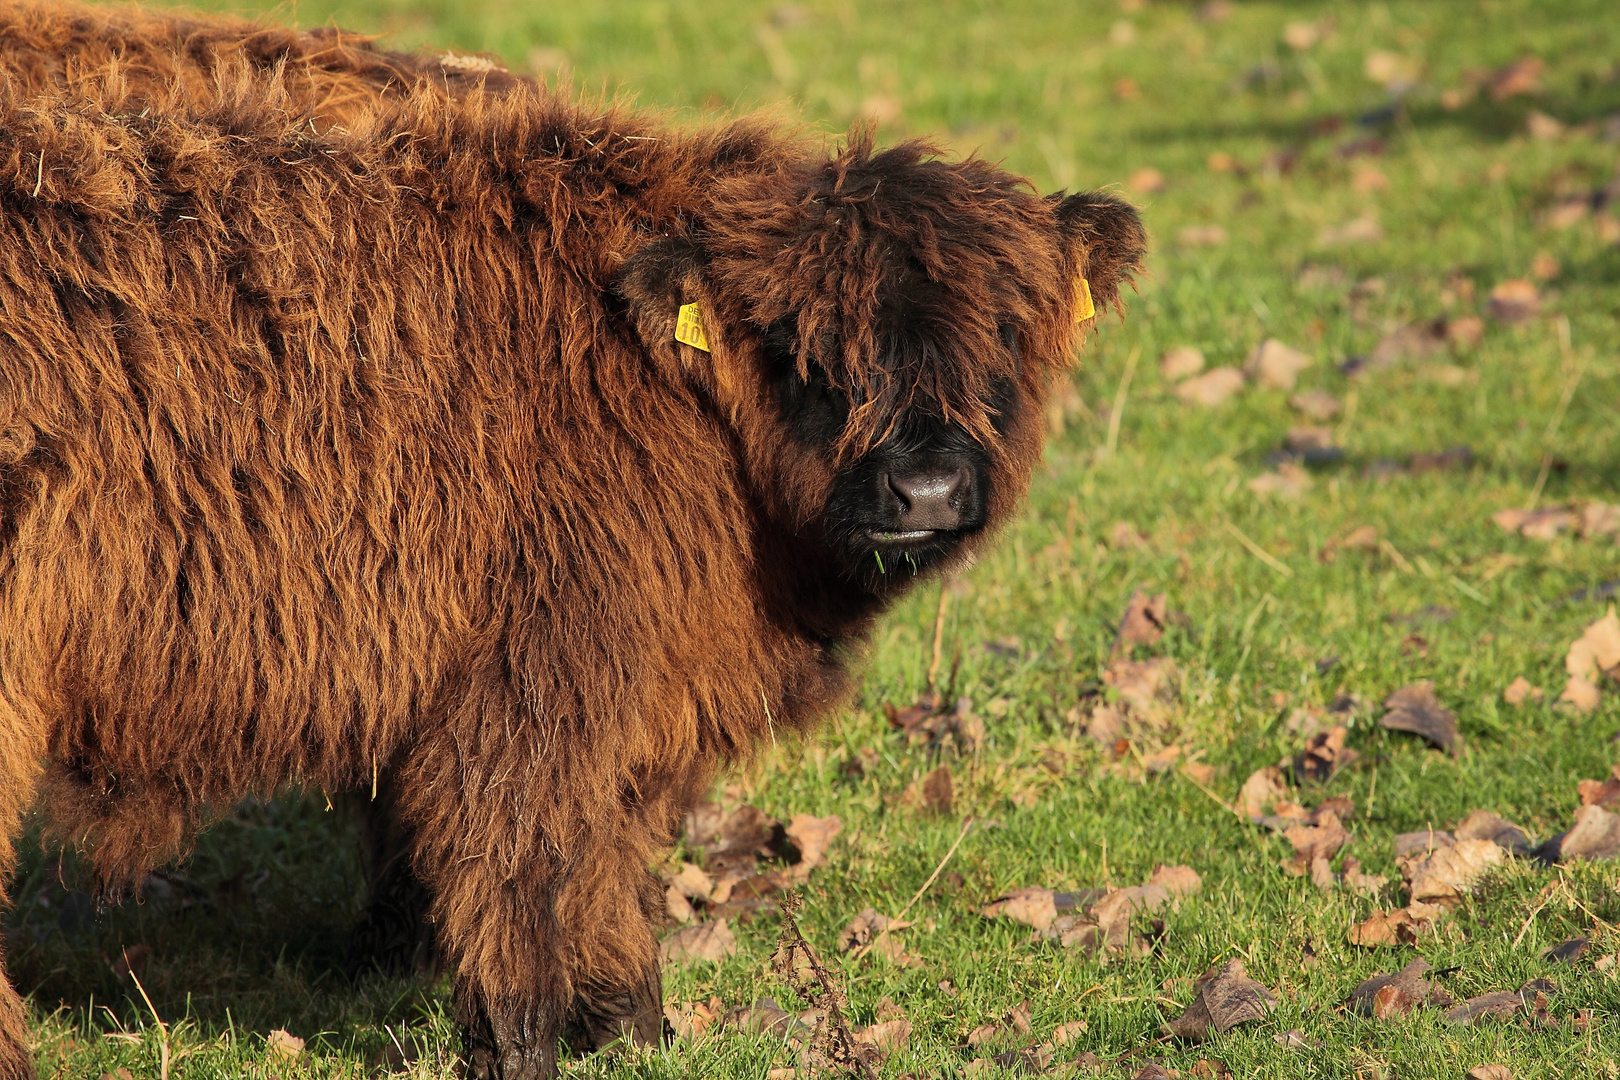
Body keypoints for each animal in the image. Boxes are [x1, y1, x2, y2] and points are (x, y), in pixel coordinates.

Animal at [0, 8, 1146, 1080]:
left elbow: (607, 863)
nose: (926, 487)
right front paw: (521, 1046)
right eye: (800, 352)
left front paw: (633, 1026)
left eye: (1006, 335)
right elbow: (522, 871)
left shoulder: (634, 699)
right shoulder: (526, 689)